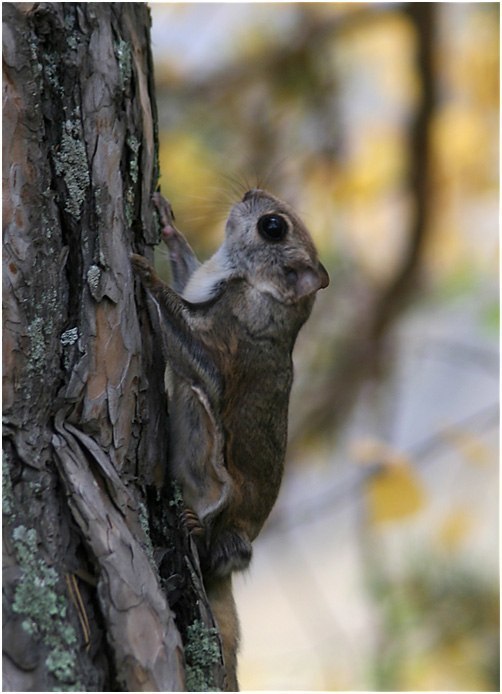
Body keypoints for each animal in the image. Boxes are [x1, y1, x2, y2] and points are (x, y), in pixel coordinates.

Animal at [131, 189, 329, 690]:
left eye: (273, 227)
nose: (249, 193)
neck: (244, 280)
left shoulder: (226, 343)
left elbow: (197, 358)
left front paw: (148, 277)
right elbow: (184, 264)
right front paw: (167, 226)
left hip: (229, 521)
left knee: (216, 551)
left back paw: (197, 528)